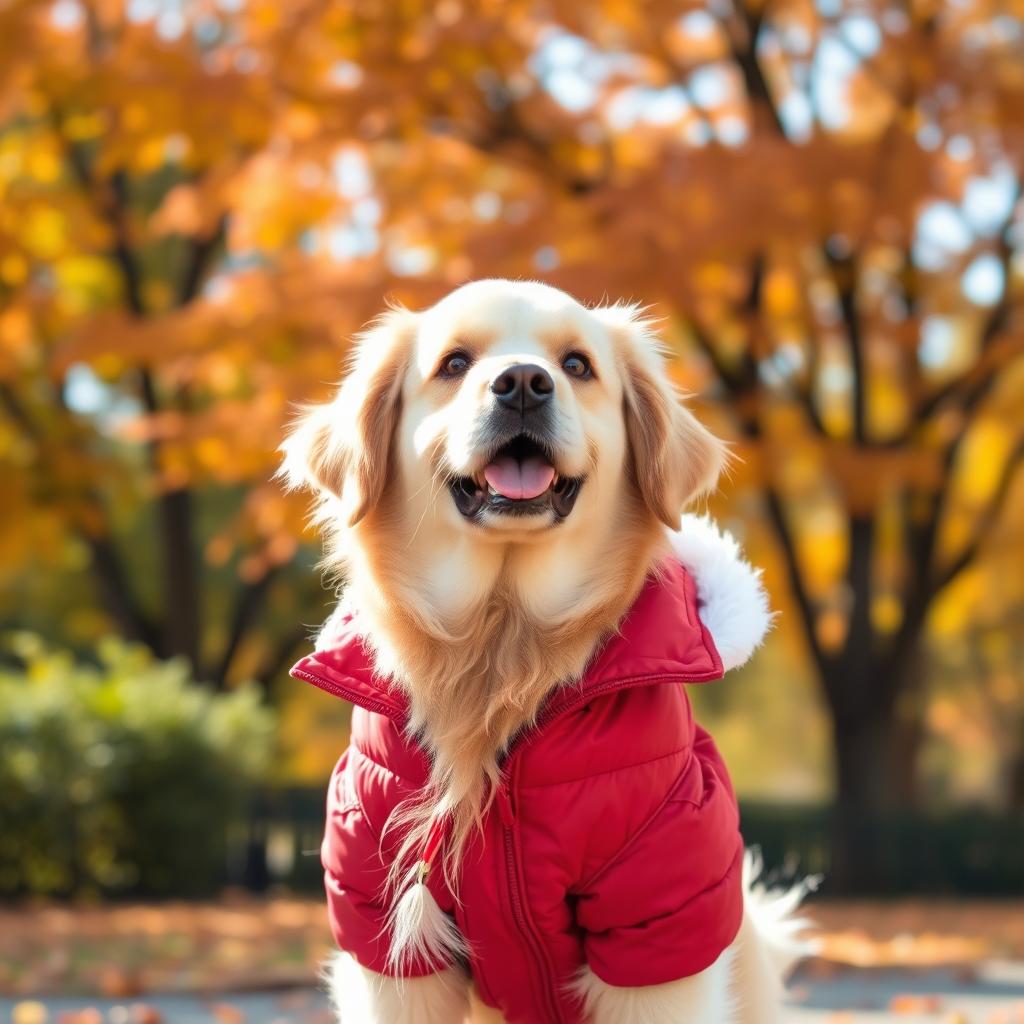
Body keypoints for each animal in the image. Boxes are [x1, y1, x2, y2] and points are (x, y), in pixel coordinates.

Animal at [280, 280, 806, 1024]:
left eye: (577, 364)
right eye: (454, 363)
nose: (524, 383)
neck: (506, 641)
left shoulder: (659, 924)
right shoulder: (386, 932)